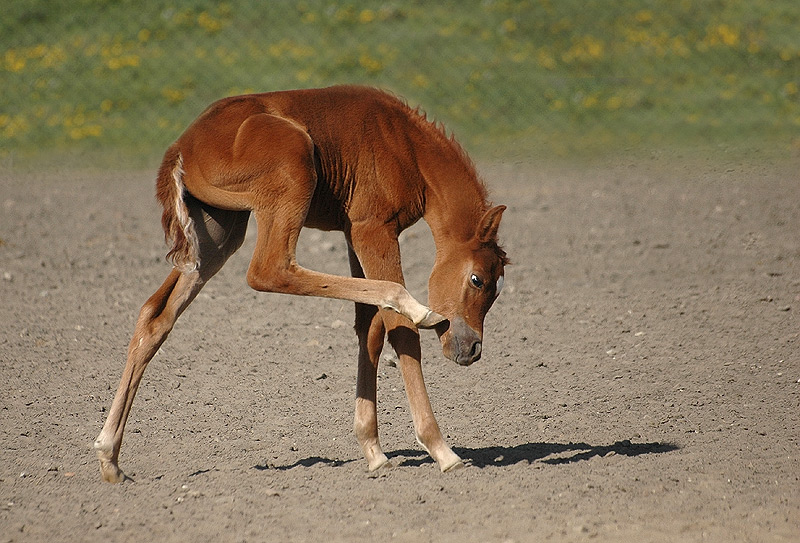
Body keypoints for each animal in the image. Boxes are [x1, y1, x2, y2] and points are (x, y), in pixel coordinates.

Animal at [94, 86, 506, 484]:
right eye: (478, 279)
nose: (472, 350)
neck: (407, 145)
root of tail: (181, 147)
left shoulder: (351, 234)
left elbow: (367, 328)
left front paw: (373, 450)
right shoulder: (374, 229)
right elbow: (399, 329)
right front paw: (441, 449)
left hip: (216, 234)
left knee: (155, 316)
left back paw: (110, 457)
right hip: (290, 174)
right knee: (269, 270)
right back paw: (416, 307)